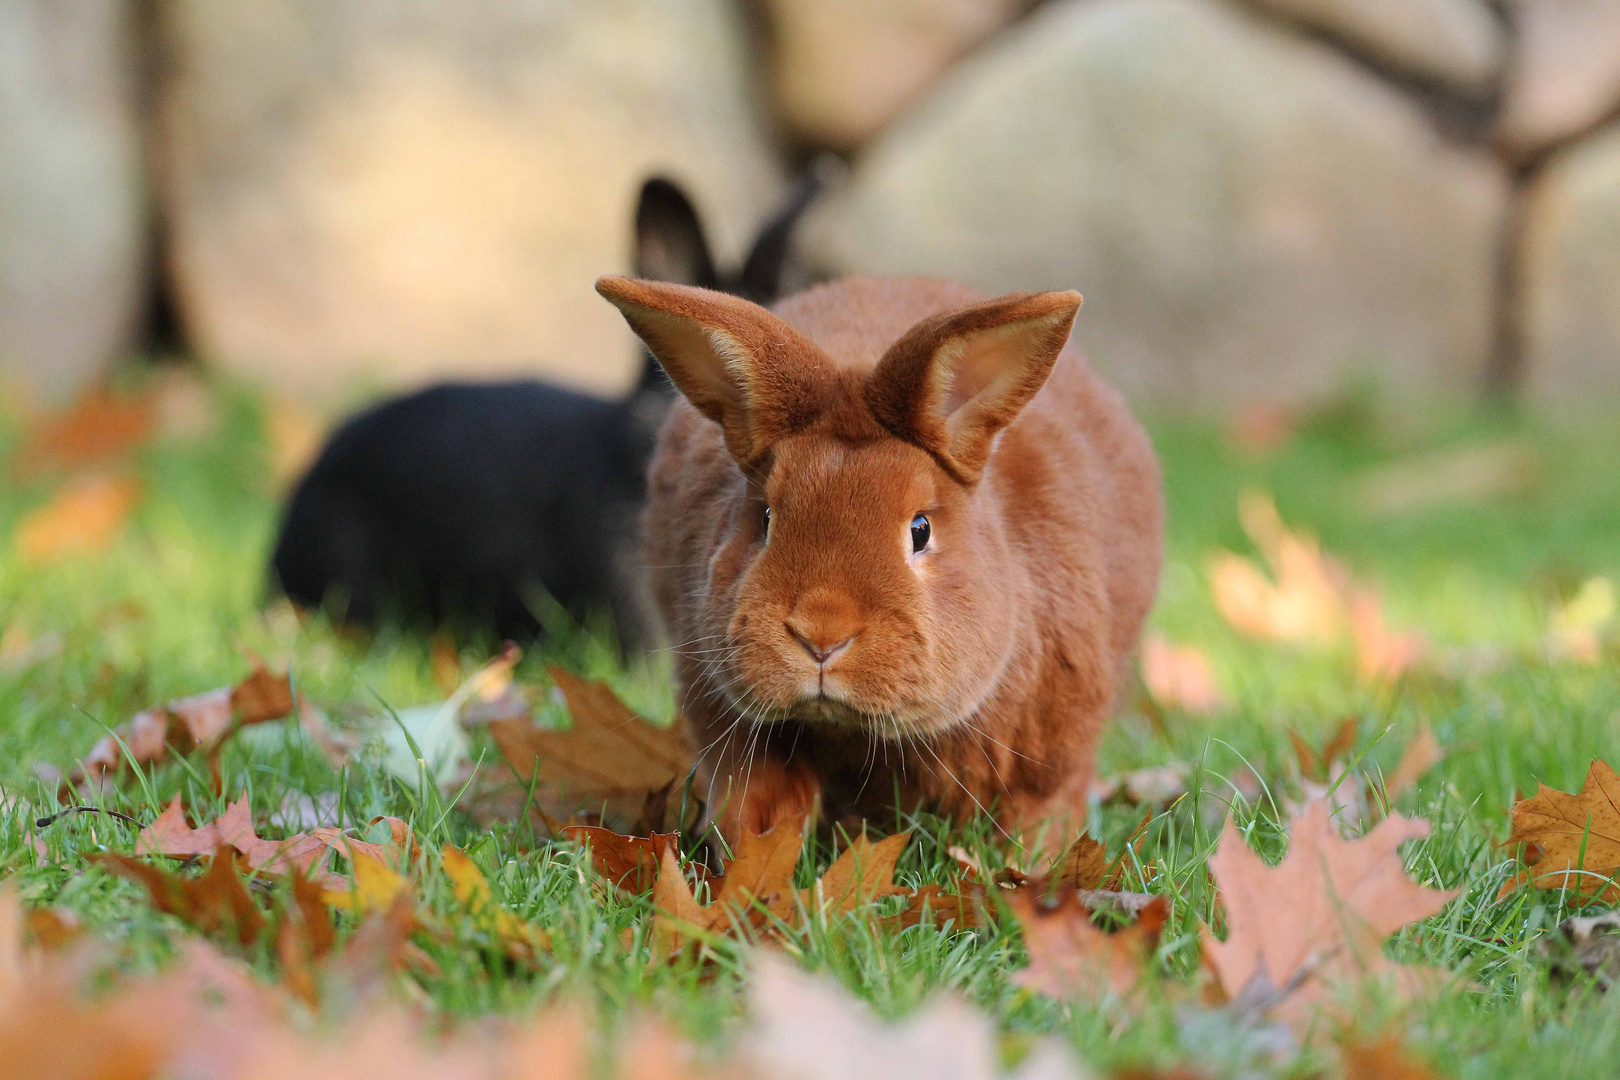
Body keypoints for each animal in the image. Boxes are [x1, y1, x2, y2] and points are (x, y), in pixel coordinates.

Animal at [596, 275, 1166, 848]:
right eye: (765, 518)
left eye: (921, 530)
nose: (822, 637)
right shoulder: (726, 719)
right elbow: (757, 796)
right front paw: (755, 852)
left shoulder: (1048, 760)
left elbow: (1035, 817)